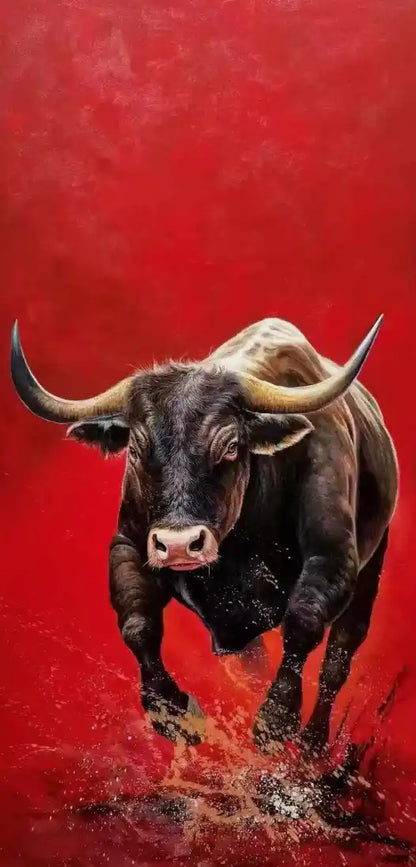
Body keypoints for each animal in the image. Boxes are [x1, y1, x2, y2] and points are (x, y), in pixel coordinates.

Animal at [10, 316, 398, 753]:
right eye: (136, 449)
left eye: (230, 446)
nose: (180, 545)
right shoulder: (129, 548)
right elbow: (137, 626)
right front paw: (176, 715)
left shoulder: (332, 558)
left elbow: (303, 624)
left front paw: (275, 722)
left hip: (372, 564)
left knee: (339, 656)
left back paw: (314, 743)